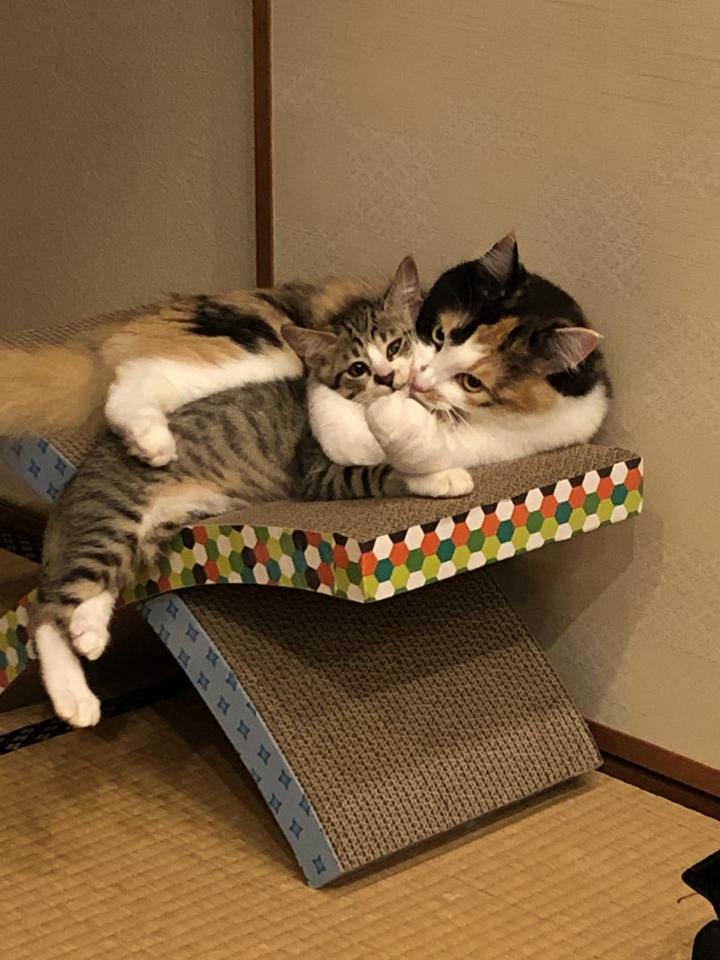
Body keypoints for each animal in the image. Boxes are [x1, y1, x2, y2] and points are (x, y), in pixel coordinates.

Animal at [0, 258, 421, 468]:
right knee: (130, 382)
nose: (388, 377)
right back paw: (154, 444)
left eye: (396, 345)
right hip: (257, 350)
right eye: (360, 367)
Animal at [33, 300, 473, 730]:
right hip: (114, 517)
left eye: (397, 346)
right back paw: (75, 699)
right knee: (46, 611)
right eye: (358, 367)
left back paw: (88, 632)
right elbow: (383, 471)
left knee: (97, 587)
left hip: (147, 532)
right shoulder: (320, 473)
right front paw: (441, 476)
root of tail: (75, 483)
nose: (388, 377)